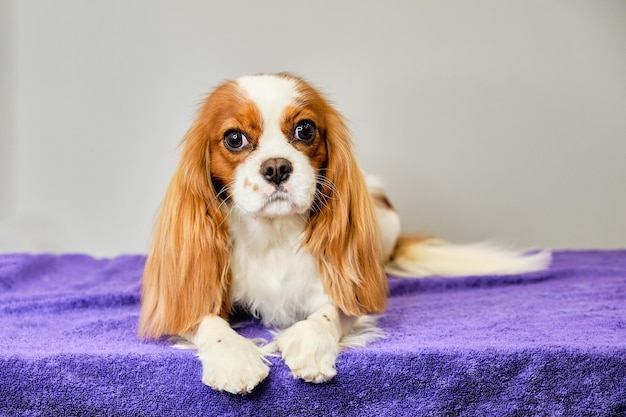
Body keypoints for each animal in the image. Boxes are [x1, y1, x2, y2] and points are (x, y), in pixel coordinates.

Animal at [136, 72, 544, 394]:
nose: (277, 167)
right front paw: (233, 356)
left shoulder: (345, 287)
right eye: (234, 139)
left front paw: (309, 342)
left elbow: (333, 309)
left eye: (305, 130)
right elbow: (206, 319)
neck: (273, 233)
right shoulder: (194, 292)